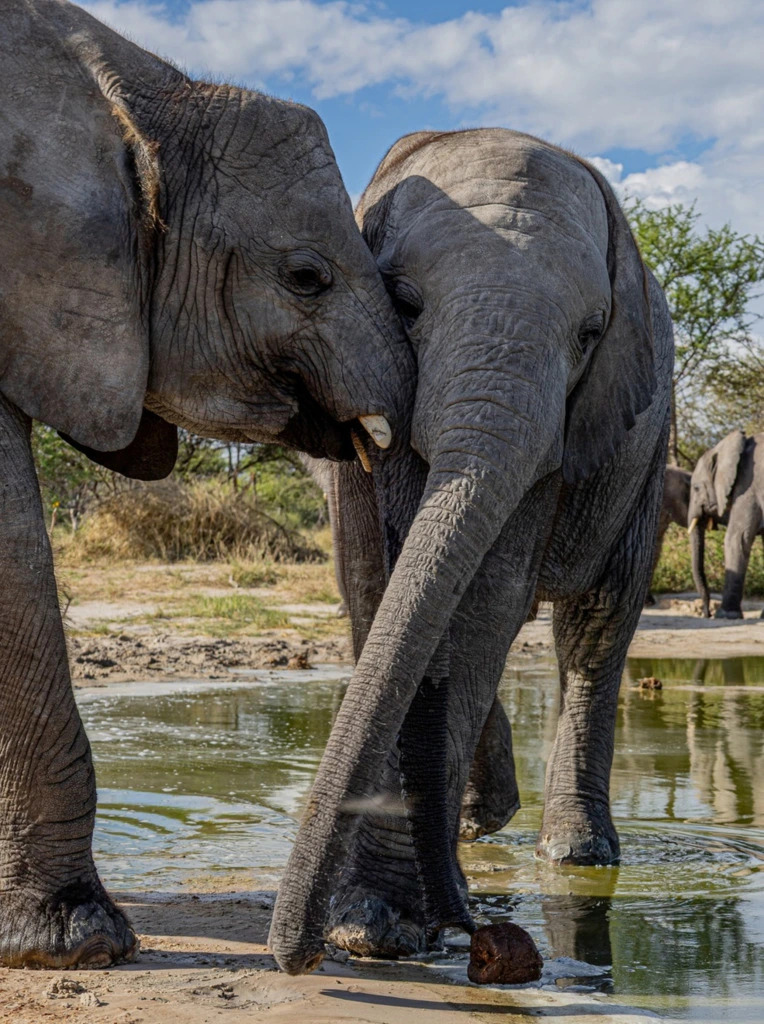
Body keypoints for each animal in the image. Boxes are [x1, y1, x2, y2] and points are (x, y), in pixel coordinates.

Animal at [269, 128, 674, 974]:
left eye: (590, 335)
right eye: (405, 303)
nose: (294, 957)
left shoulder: (570, 428)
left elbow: (486, 598)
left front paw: (381, 924)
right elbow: (376, 587)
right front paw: (372, 926)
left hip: (651, 458)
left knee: (595, 626)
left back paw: (574, 853)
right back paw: (479, 825)